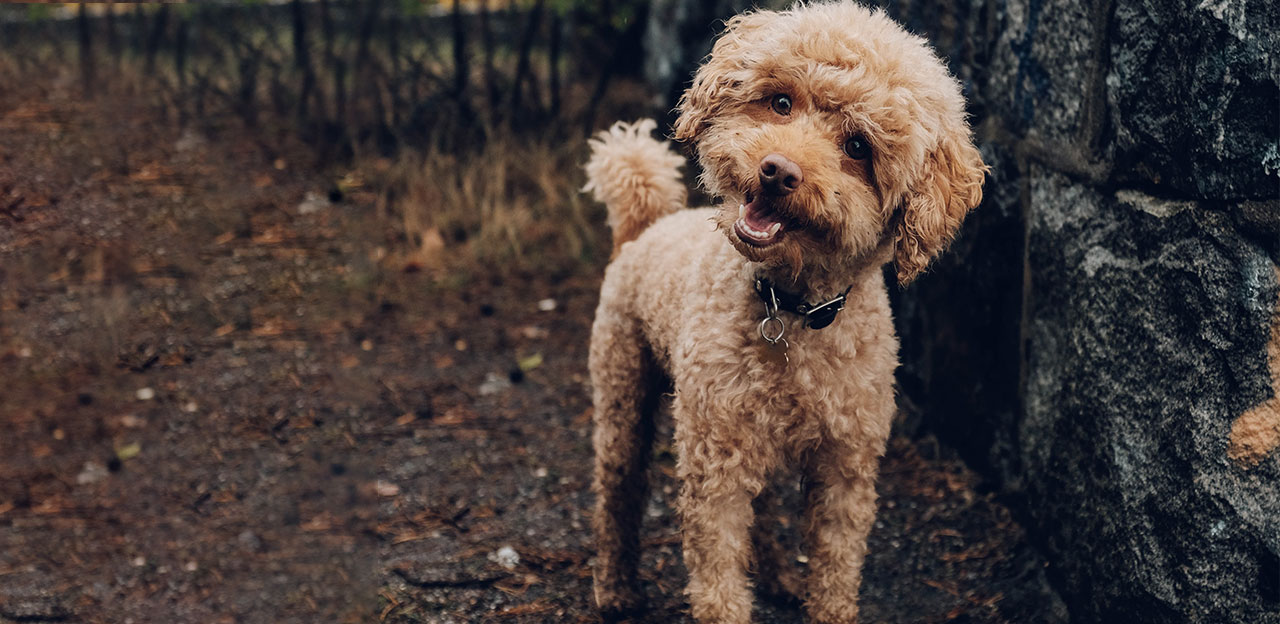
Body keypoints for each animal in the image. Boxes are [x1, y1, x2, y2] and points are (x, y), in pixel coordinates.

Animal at [586, 2, 983, 621]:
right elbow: (717, 572)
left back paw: (776, 576)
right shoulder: (716, 460)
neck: (792, 307)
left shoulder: (846, 465)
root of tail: (644, 227)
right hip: (622, 389)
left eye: (858, 147)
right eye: (780, 102)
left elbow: (836, 567)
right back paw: (616, 588)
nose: (777, 170)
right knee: (616, 492)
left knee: (763, 508)